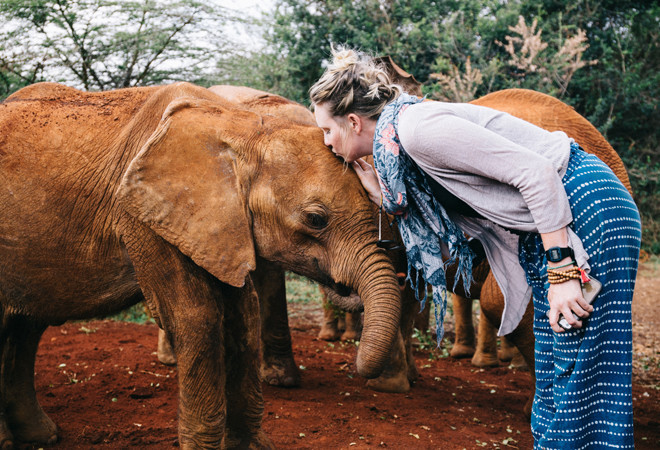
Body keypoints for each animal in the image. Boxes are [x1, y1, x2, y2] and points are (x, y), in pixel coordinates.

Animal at [0, 82, 402, 448]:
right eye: (316, 220)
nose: (359, 369)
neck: (244, 128)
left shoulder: (220, 223)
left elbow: (242, 315)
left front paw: (251, 447)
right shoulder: (145, 214)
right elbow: (198, 317)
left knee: (24, 327)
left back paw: (41, 437)